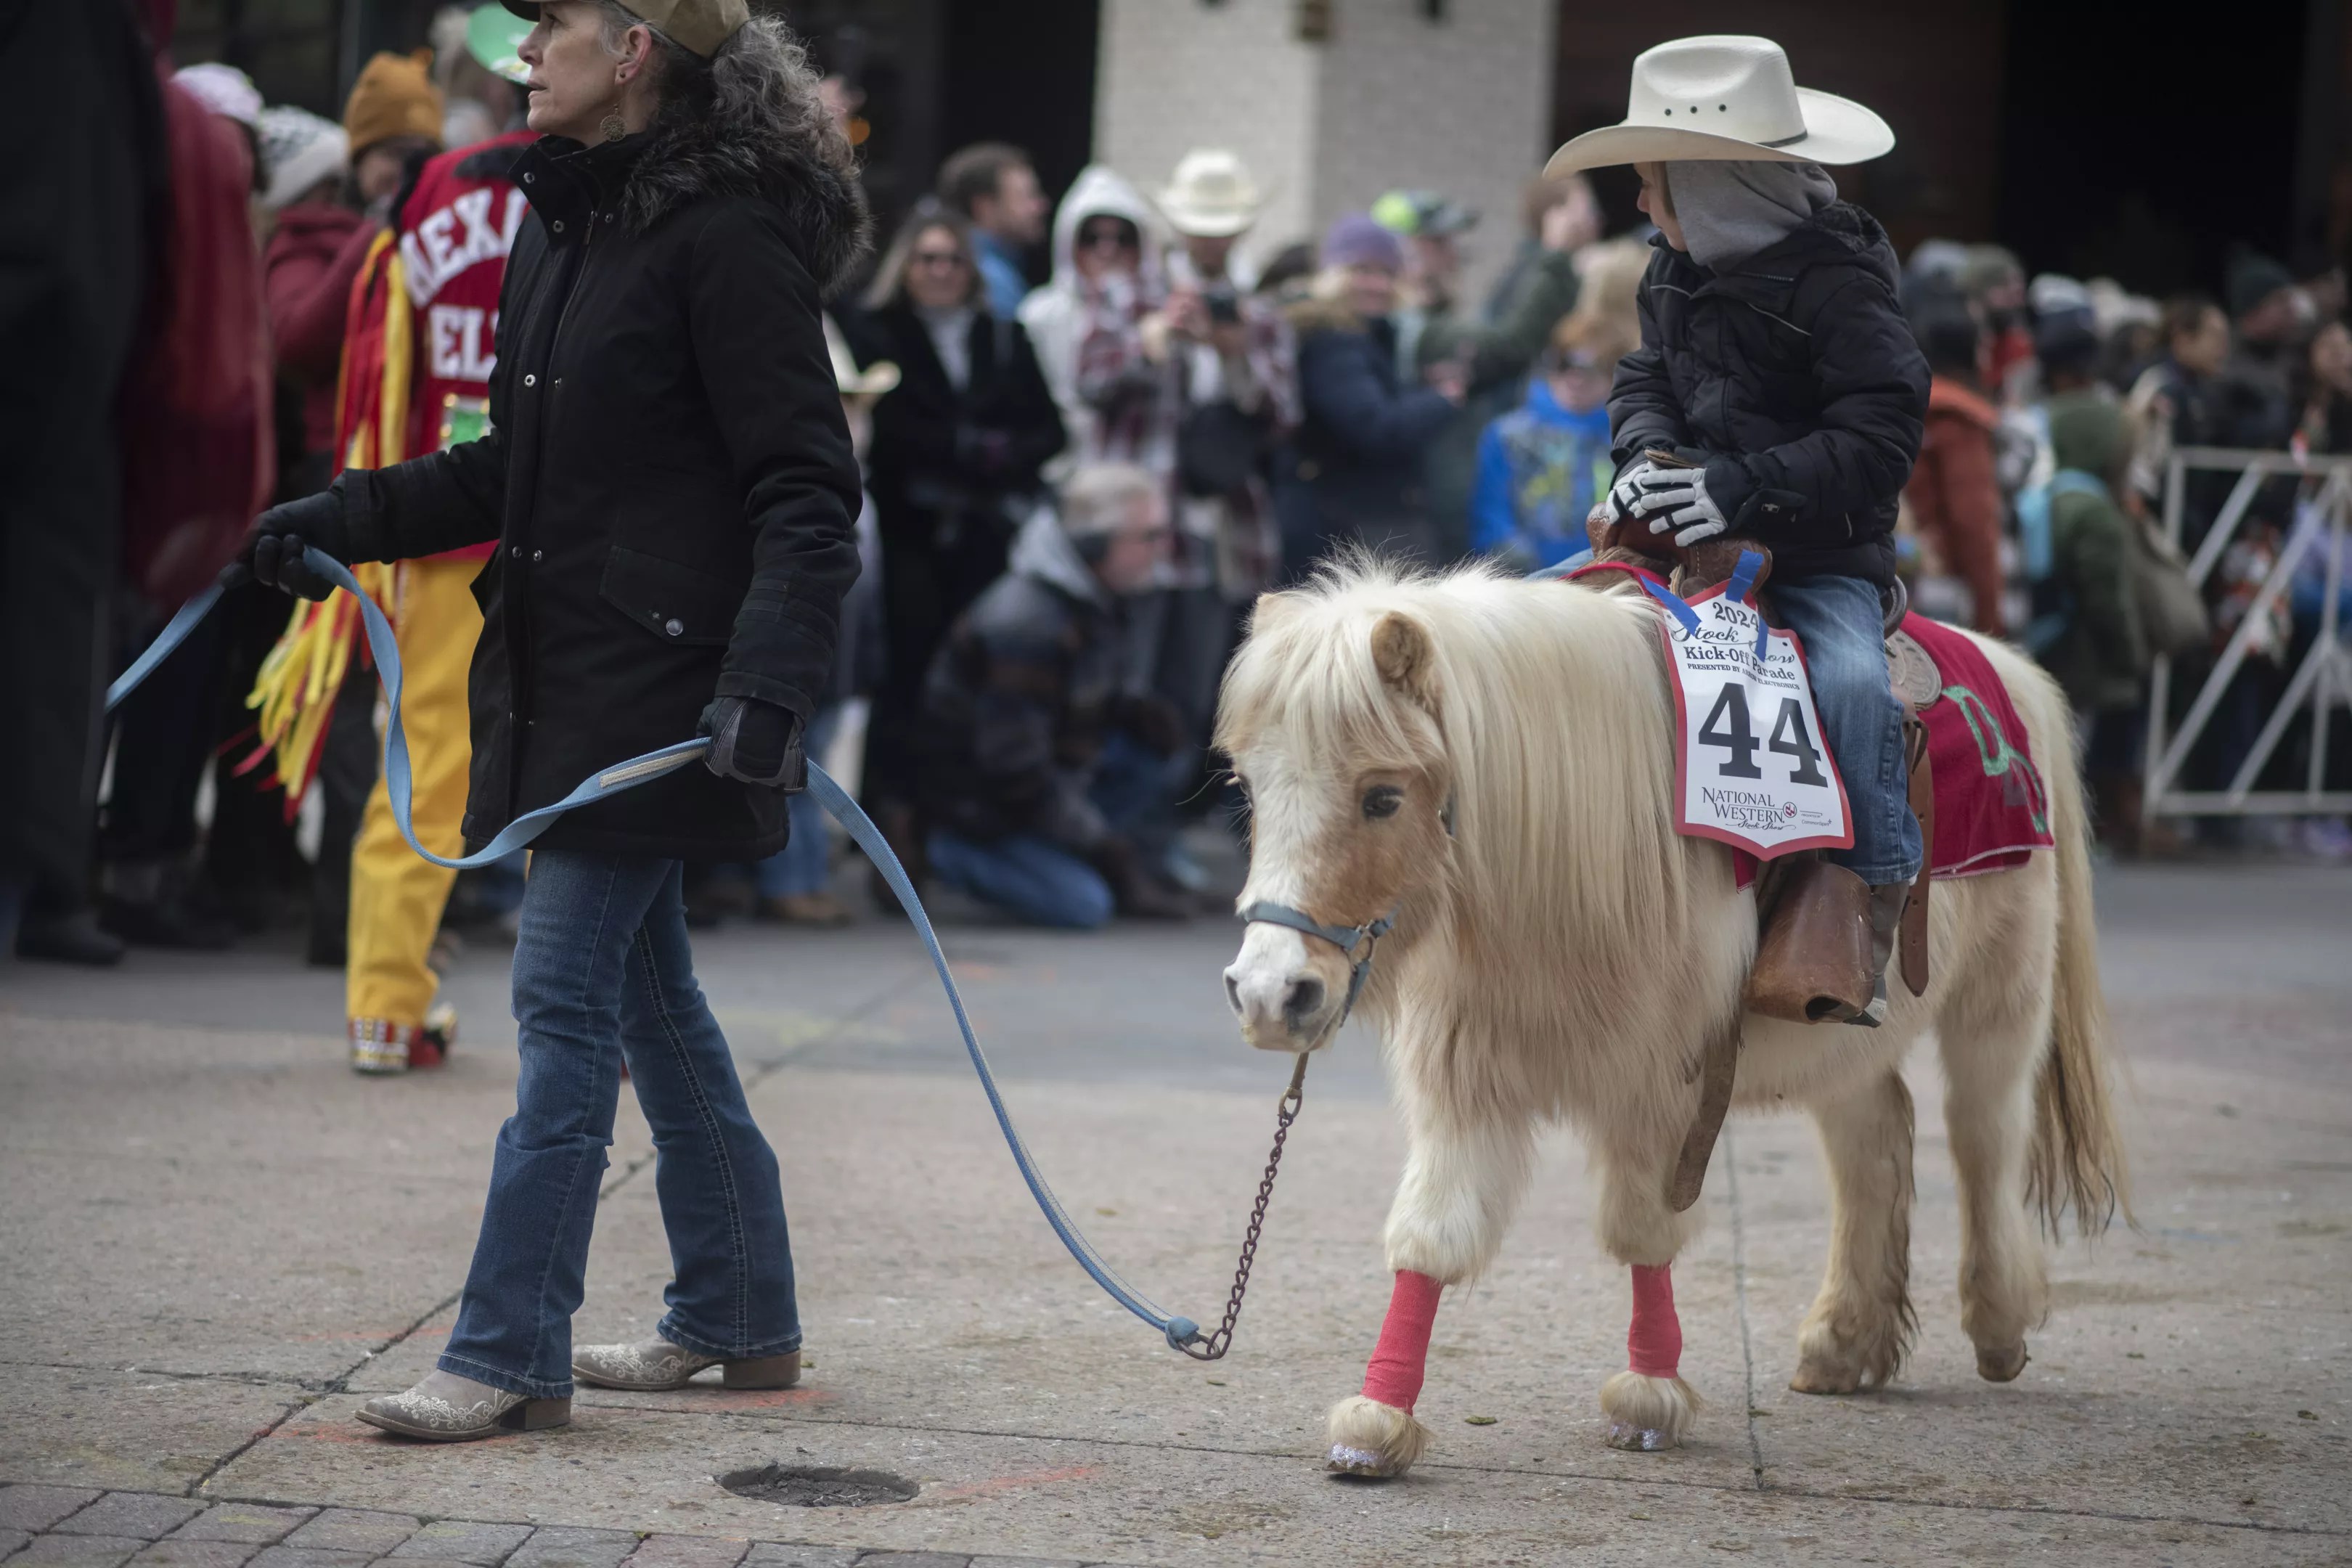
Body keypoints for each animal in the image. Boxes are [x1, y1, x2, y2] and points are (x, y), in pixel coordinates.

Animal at [1212, 554, 2127, 1475]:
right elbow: (1432, 1239)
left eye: (1382, 796)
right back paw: (1843, 1342)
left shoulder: (1660, 1087)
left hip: (1999, 999)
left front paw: (1649, 1396)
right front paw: (1376, 1420)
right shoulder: (1467, 1079)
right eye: (1247, 785)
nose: (1269, 995)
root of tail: (2009, 671)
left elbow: (1643, 1232)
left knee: (1983, 1136)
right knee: (1874, 1143)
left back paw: (1999, 1324)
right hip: (1843, 1042)